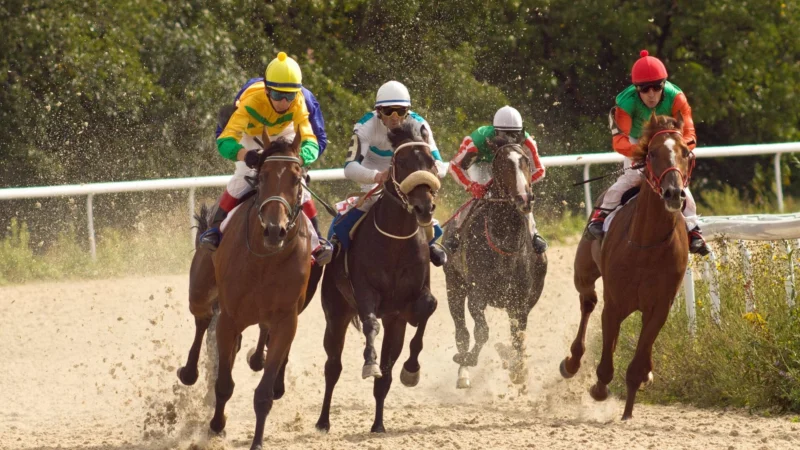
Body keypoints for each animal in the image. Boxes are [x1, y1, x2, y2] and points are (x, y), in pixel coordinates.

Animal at [176, 128, 314, 450]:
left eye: (296, 178)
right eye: (262, 176)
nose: (274, 229)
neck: (266, 258)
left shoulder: (286, 320)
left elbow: (263, 393)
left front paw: (258, 441)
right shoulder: (229, 317)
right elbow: (223, 383)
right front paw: (216, 425)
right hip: (200, 290)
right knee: (202, 320)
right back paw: (189, 372)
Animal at [315, 123, 440, 433]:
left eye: (430, 162)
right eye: (402, 163)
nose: (424, 208)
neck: (395, 241)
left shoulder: (403, 310)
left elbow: (427, 308)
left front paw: (411, 370)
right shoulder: (365, 292)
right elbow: (371, 323)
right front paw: (368, 362)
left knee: (385, 378)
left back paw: (379, 424)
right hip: (336, 314)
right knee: (332, 368)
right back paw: (323, 421)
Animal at [441, 136, 548, 388]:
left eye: (526, 160)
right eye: (502, 163)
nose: (524, 198)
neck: (505, 246)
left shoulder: (520, 301)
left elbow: (518, 336)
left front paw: (518, 368)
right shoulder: (476, 295)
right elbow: (481, 332)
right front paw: (468, 359)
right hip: (454, 284)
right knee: (461, 331)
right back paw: (463, 373)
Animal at [559, 113, 694, 420]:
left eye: (685, 152)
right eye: (652, 152)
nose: (674, 194)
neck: (648, 245)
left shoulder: (660, 307)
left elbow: (637, 360)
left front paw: (629, 409)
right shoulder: (614, 303)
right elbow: (606, 363)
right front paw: (599, 389)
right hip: (583, 272)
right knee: (588, 302)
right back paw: (572, 362)